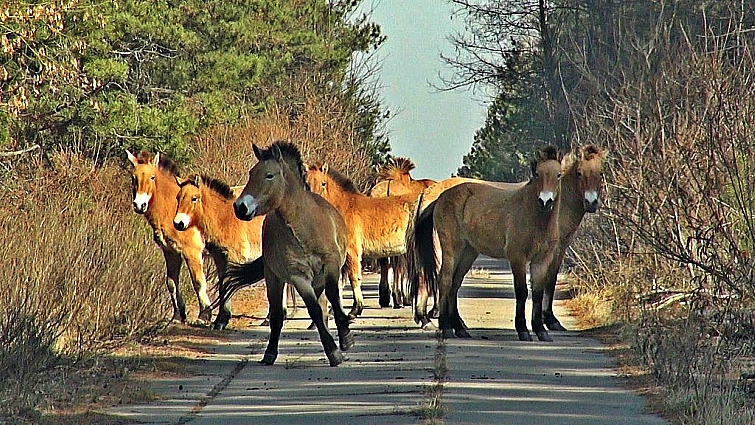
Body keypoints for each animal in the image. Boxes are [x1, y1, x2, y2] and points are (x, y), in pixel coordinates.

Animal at [126, 150, 216, 324]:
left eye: (152, 177)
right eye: (134, 177)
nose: (139, 205)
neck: (173, 209)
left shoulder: (192, 253)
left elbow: (198, 282)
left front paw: (204, 315)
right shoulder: (171, 252)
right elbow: (171, 283)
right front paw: (177, 316)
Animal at [227, 141, 354, 367]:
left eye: (269, 175)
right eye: (251, 173)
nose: (240, 207)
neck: (305, 228)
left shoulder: (330, 266)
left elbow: (333, 297)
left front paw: (346, 338)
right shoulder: (298, 276)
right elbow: (314, 310)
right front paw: (333, 351)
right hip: (274, 278)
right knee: (278, 315)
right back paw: (269, 354)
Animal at [305, 162, 419, 320]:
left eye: (323, 183)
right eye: (306, 183)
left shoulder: (351, 252)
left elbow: (354, 278)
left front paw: (355, 310)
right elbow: (339, 282)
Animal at [408, 146, 563, 342]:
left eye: (559, 175)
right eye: (537, 174)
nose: (545, 201)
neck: (535, 217)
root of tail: (440, 198)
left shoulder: (541, 261)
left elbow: (537, 293)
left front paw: (541, 331)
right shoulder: (517, 258)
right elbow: (521, 292)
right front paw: (523, 331)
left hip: (468, 253)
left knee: (454, 285)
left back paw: (460, 329)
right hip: (452, 249)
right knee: (445, 281)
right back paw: (447, 328)